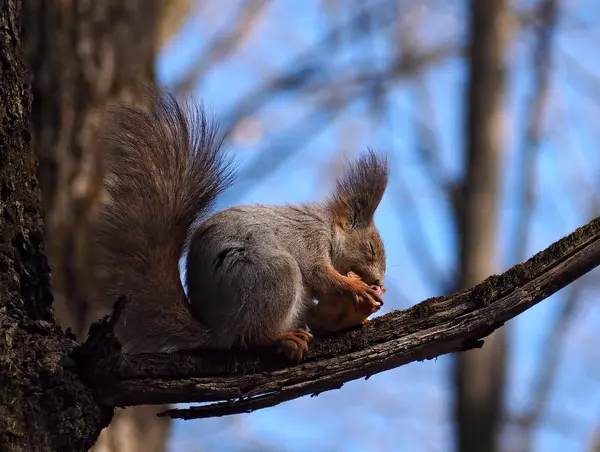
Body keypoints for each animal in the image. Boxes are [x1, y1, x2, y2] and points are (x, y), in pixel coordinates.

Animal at [91, 90, 386, 362]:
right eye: (371, 248)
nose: (378, 283)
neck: (327, 228)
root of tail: (217, 329)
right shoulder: (310, 238)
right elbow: (318, 273)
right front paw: (356, 287)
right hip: (271, 276)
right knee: (248, 337)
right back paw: (281, 339)